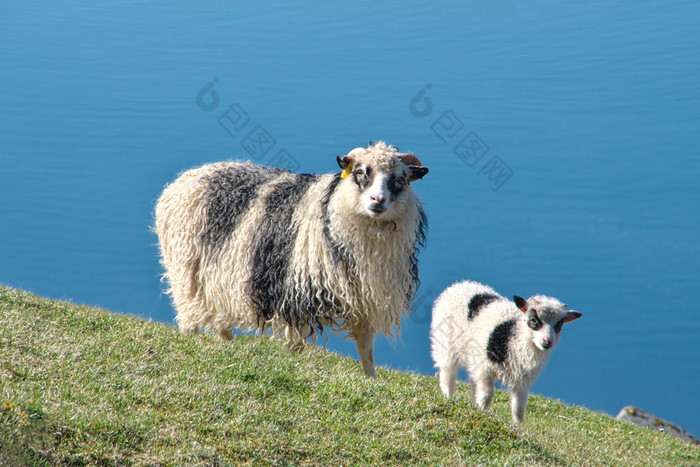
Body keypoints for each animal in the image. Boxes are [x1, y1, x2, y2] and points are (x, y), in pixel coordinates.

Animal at [154, 142, 426, 376]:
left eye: (400, 179)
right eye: (360, 172)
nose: (378, 200)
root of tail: (186, 178)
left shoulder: (362, 300)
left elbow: (366, 349)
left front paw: (371, 380)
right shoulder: (295, 295)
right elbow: (296, 345)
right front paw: (295, 369)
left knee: (221, 322)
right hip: (186, 274)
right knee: (188, 320)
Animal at [430, 282, 584, 424]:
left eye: (559, 325)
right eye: (534, 320)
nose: (547, 342)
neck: (514, 338)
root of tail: (460, 285)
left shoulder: (523, 380)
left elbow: (519, 408)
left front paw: (517, 427)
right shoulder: (485, 368)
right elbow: (486, 395)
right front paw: (483, 413)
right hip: (446, 343)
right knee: (448, 373)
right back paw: (448, 397)